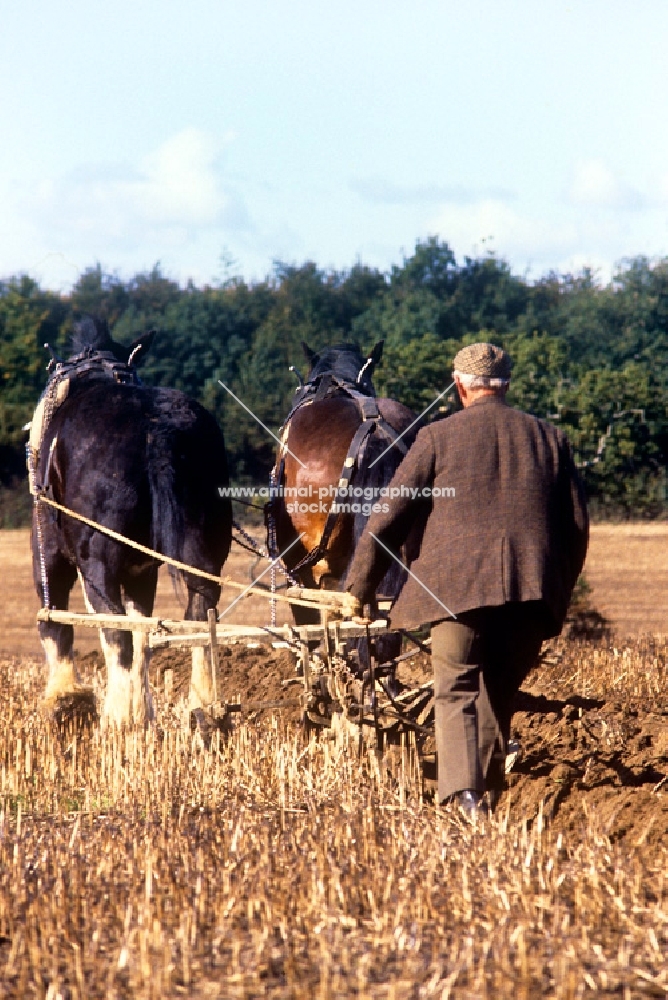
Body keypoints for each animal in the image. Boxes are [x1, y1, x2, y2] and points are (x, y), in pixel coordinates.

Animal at [31, 316, 232, 724]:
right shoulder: (142, 571)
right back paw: (203, 711)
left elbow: (54, 618)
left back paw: (118, 718)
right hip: (204, 548)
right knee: (198, 618)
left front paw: (63, 698)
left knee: (115, 630)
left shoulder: (49, 546)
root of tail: (157, 428)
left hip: (96, 561)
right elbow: (144, 632)